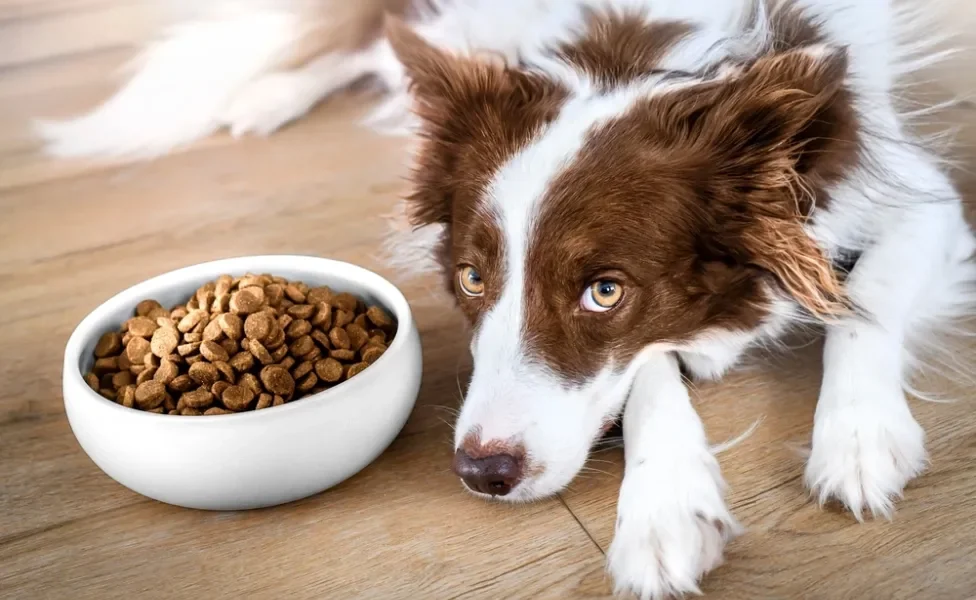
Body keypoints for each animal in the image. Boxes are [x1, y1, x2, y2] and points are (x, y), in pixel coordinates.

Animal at [38, 0, 976, 596]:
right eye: (472, 278)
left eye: (605, 290)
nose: (482, 475)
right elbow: (648, 372)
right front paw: (664, 506)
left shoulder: (919, 196)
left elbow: (865, 307)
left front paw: (859, 440)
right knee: (374, 37)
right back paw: (267, 95)